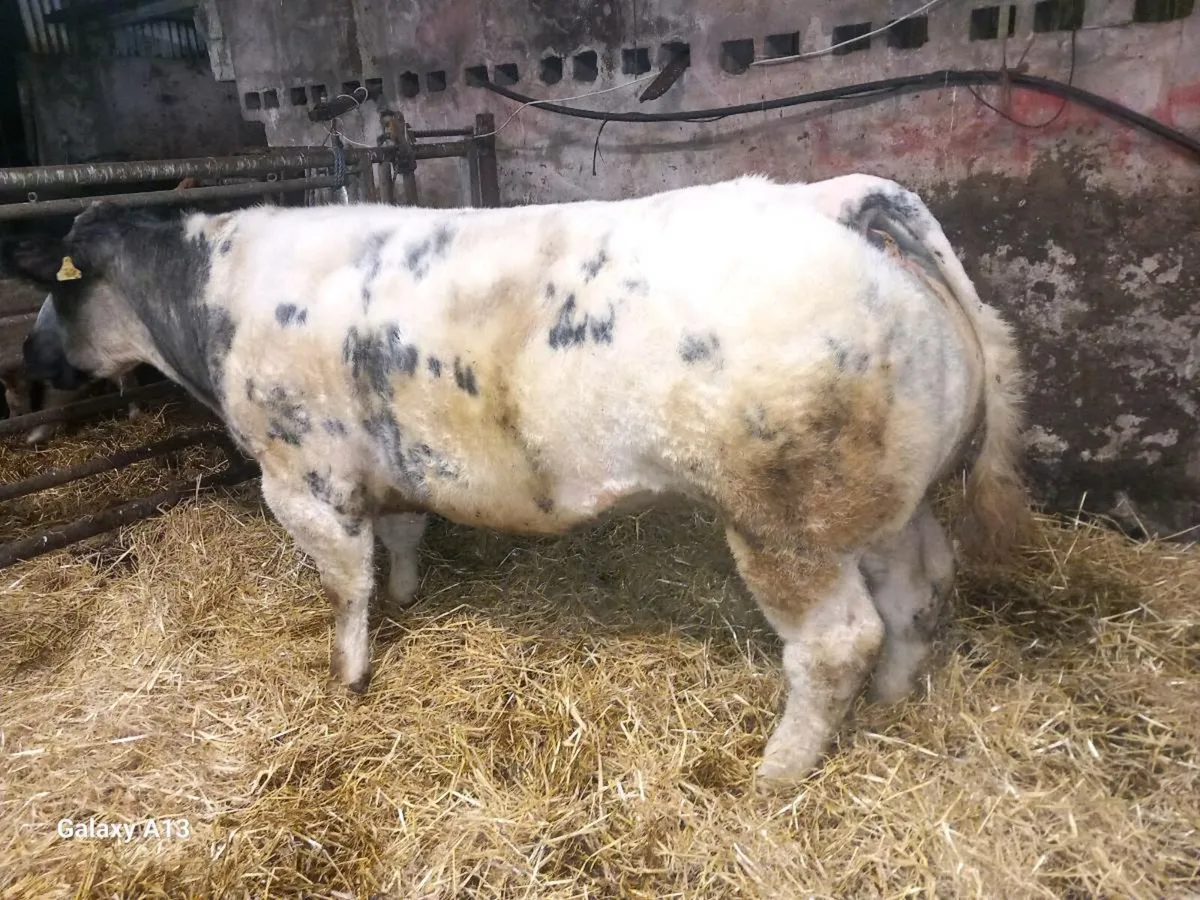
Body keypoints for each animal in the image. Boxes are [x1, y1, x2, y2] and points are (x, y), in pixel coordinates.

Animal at [8, 174, 1030, 784]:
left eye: (59, 286)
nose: (29, 358)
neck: (209, 302)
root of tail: (832, 196)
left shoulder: (299, 476)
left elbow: (344, 586)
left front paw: (349, 677)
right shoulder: (395, 464)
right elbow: (400, 540)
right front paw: (409, 596)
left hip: (785, 521)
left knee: (836, 641)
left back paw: (779, 769)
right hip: (885, 503)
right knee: (918, 591)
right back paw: (893, 698)